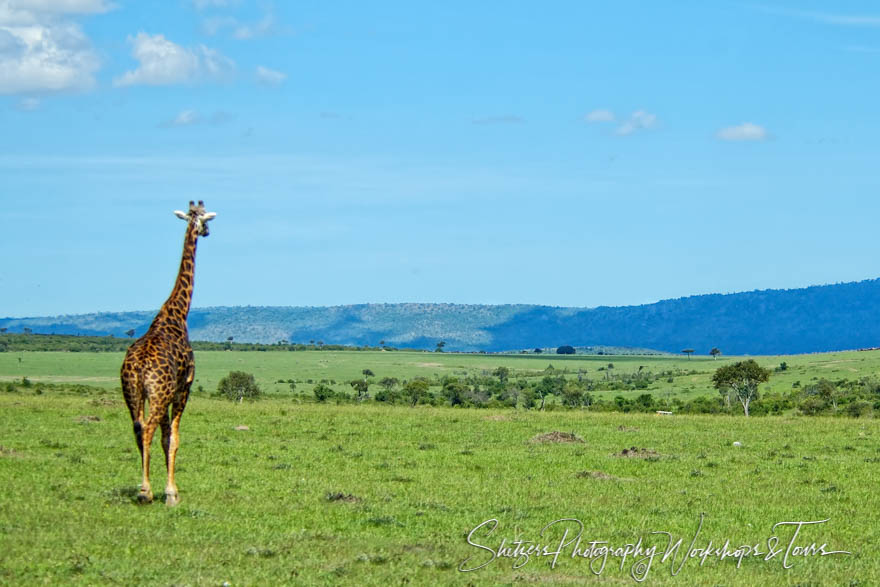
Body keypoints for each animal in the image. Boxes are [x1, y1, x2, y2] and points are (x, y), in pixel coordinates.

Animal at [120, 201, 215, 506]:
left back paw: (144, 488)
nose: (206, 232)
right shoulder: (184, 387)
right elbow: (173, 438)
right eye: (206, 218)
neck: (176, 312)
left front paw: (168, 488)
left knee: (138, 429)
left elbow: (165, 438)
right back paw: (145, 492)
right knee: (148, 429)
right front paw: (172, 492)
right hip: (159, 394)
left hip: (132, 392)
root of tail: (138, 367)